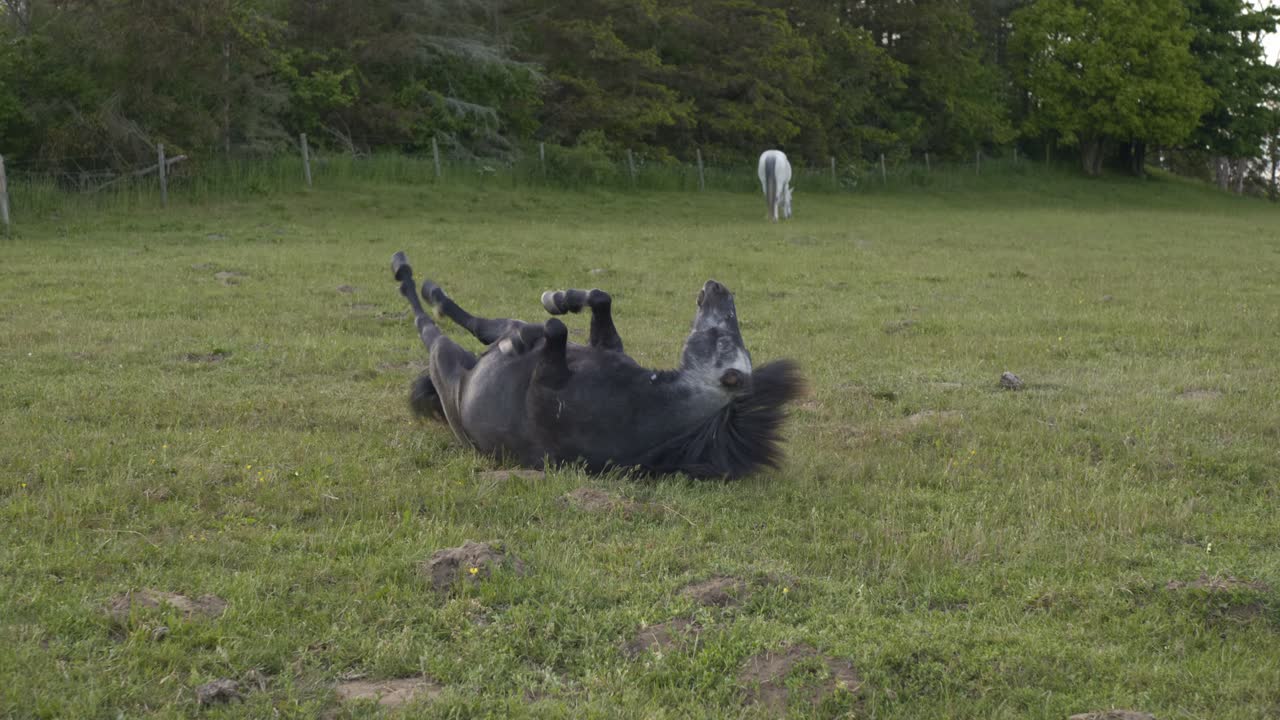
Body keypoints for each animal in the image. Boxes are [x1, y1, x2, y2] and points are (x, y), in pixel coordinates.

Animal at [390, 252, 804, 479]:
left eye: (725, 334)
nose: (718, 286)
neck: (643, 405)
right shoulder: (605, 346)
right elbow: (599, 300)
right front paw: (559, 298)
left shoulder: (546, 382)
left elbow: (553, 329)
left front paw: (526, 333)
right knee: (474, 322)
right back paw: (436, 291)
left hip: (444, 360)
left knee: (428, 325)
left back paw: (413, 280)